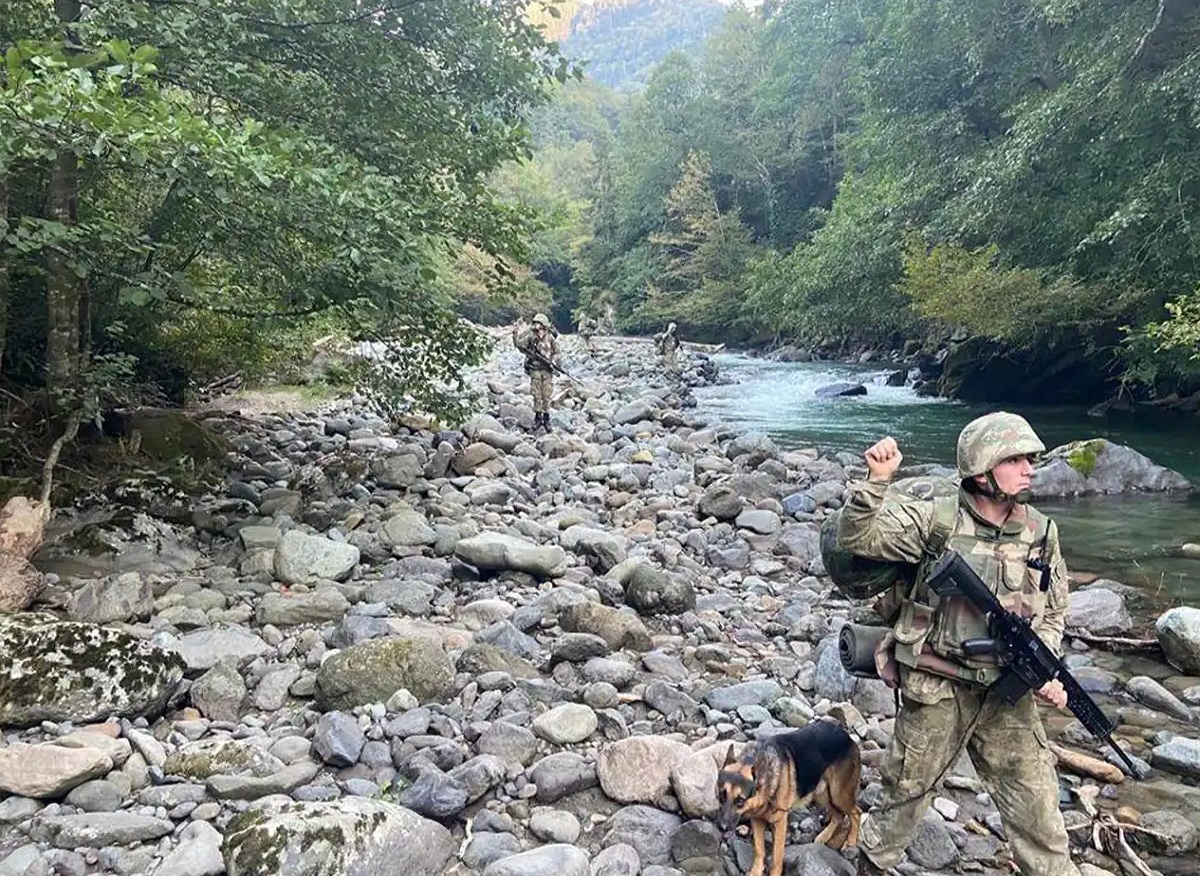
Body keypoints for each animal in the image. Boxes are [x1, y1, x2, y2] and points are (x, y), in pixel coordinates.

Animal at [715, 715, 859, 873]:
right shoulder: (757, 820)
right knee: (839, 816)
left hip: (838, 796)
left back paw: (851, 841)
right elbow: (759, 849)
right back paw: (824, 836)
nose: (721, 827)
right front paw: (756, 871)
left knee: (856, 813)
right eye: (722, 796)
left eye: (740, 801)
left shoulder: (780, 823)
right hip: (821, 794)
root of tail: (846, 736)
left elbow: (777, 858)